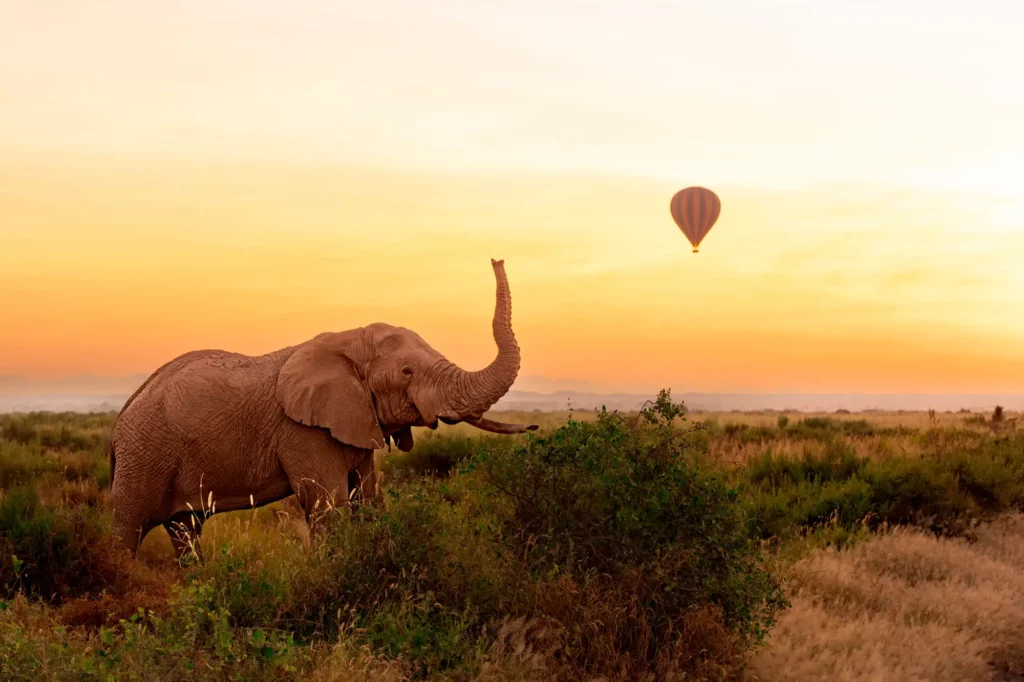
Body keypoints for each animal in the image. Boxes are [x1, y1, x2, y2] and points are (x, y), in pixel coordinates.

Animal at [108, 259, 536, 560]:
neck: (348, 342)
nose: (496, 258)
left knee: (185, 530)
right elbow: (329, 508)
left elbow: (368, 499)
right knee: (128, 529)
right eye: (407, 372)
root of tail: (121, 418)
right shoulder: (303, 432)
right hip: (144, 454)